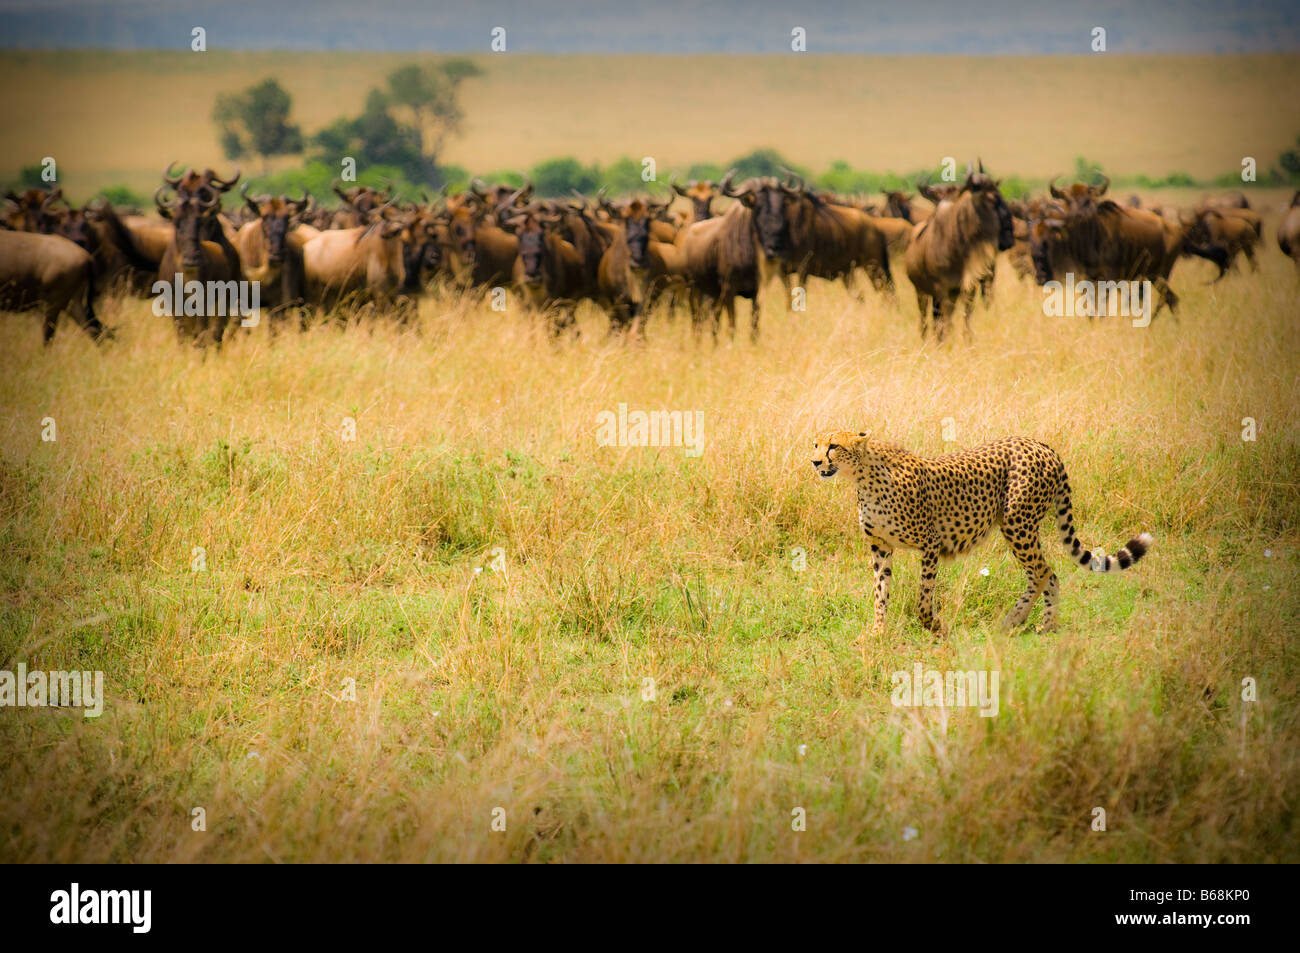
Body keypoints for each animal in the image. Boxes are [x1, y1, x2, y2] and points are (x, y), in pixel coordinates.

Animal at [806, 431, 1154, 631]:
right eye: (816, 444)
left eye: (833, 446)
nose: (814, 461)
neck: (863, 476)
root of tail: (1040, 444)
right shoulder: (880, 546)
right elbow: (880, 593)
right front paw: (877, 634)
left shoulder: (931, 542)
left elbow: (924, 594)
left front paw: (932, 624)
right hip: (1018, 527)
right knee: (1041, 575)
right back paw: (1025, 622)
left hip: (1018, 524)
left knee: (1044, 573)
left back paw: (1036, 624)